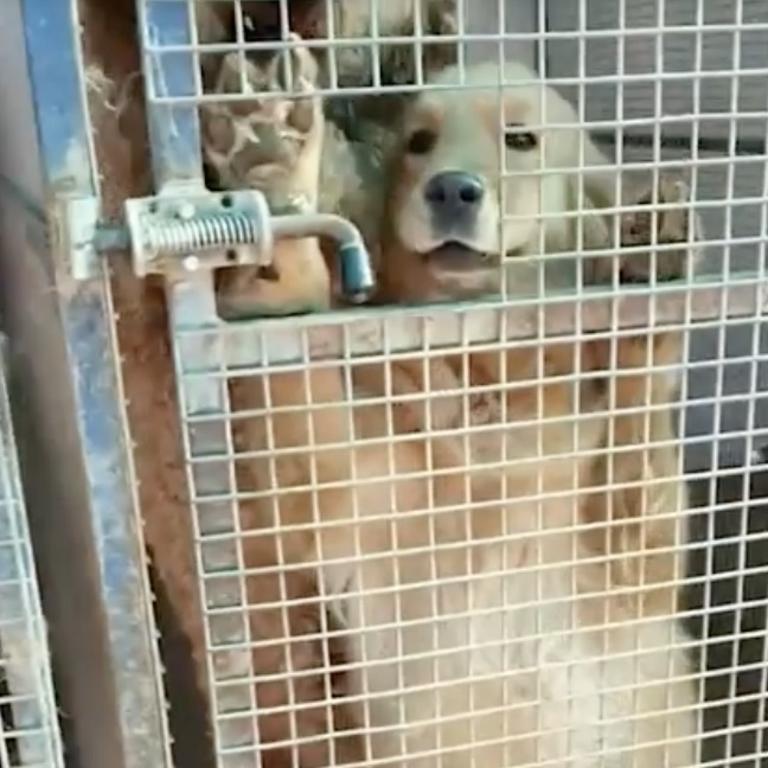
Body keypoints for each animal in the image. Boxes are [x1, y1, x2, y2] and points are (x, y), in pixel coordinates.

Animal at [202, 13, 704, 768]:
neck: (494, 390)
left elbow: (634, 429)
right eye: (419, 142)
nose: (451, 191)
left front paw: (649, 268)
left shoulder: (631, 573)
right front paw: (268, 166)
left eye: (520, 139)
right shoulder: (346, 501)